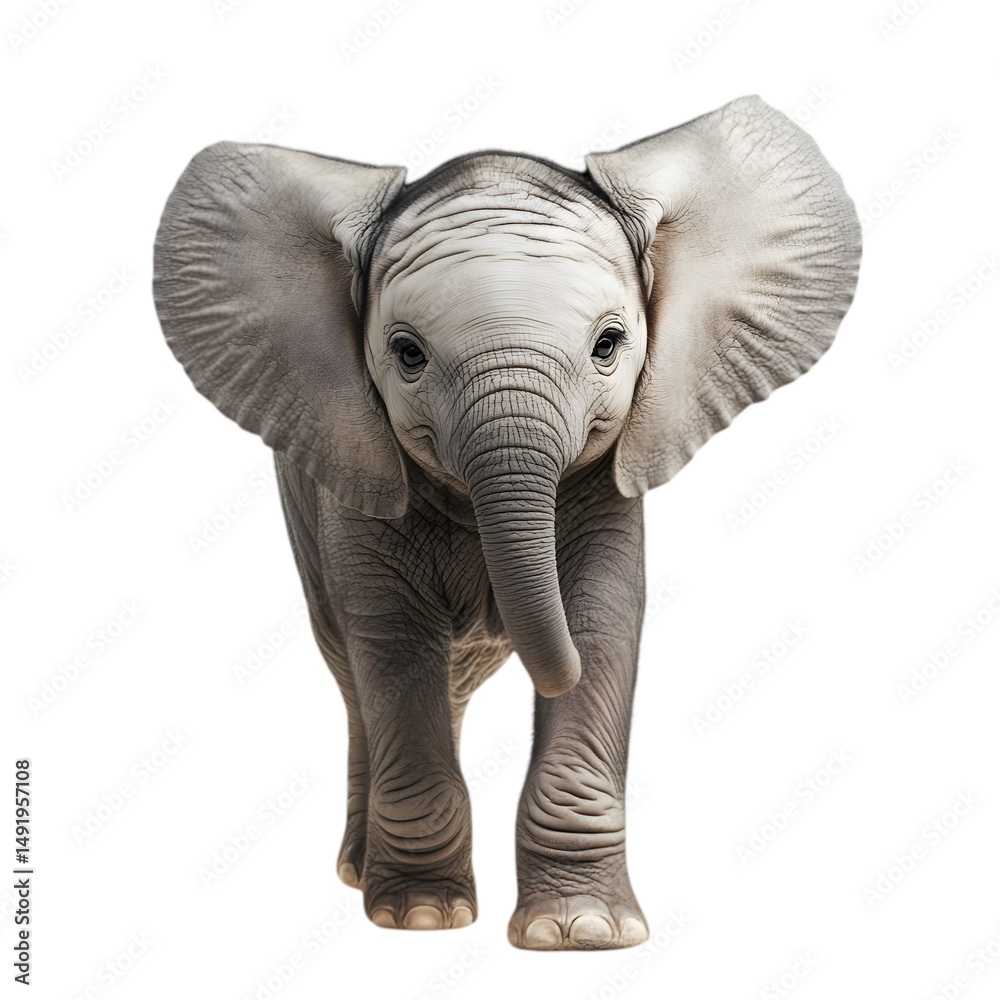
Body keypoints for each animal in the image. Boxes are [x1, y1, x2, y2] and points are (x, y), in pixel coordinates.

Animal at [152, 95, 861, 950]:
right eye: (407, 354)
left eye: (609, 345)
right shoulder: (354, 472)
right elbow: (394, 641)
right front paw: (421, 917)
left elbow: (600, 620)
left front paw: (582, 931)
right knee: (354, 672)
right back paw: (360, 873)